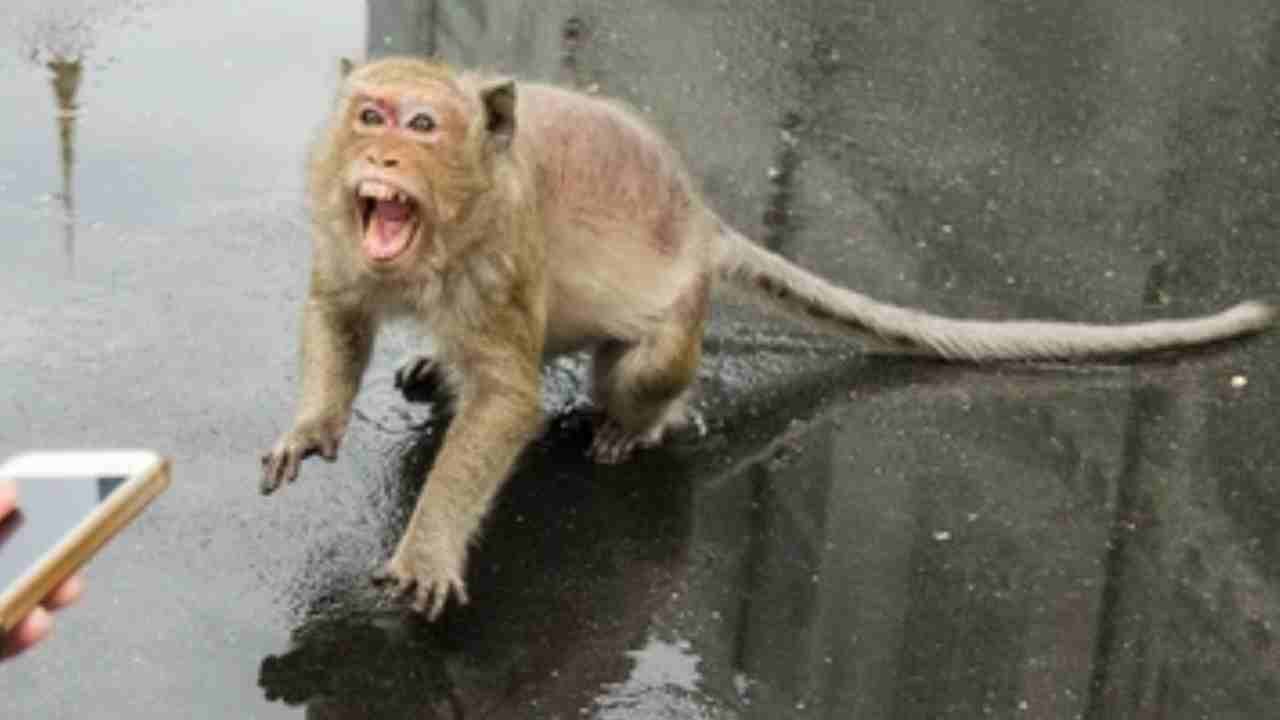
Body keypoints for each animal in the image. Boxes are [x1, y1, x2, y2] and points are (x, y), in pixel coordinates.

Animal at [260, 56, 1274, 620]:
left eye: (422, 124)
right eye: (368, 113)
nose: (381, 156)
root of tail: (705, 222)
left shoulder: (507, 250)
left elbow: (507, 403)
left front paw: (427, 552)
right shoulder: (350, 245)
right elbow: (338, 313)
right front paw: (312, 424)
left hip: (677, 311)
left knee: (642, 370)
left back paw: (650, 421)